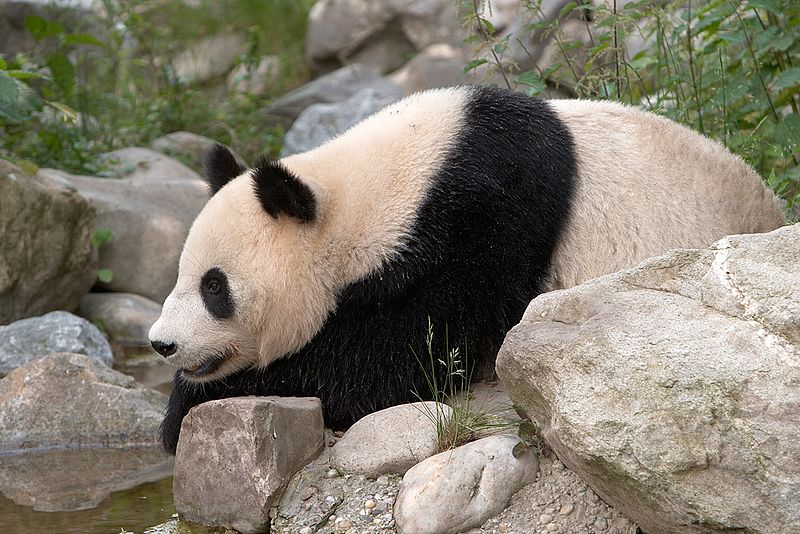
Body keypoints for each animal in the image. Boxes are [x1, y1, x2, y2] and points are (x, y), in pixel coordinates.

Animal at [147, 85, 784, 456]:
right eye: (179, 276)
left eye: (214, 288)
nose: (161, 343)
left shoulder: (481, 220)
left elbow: (402, 359)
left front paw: (191, 406)